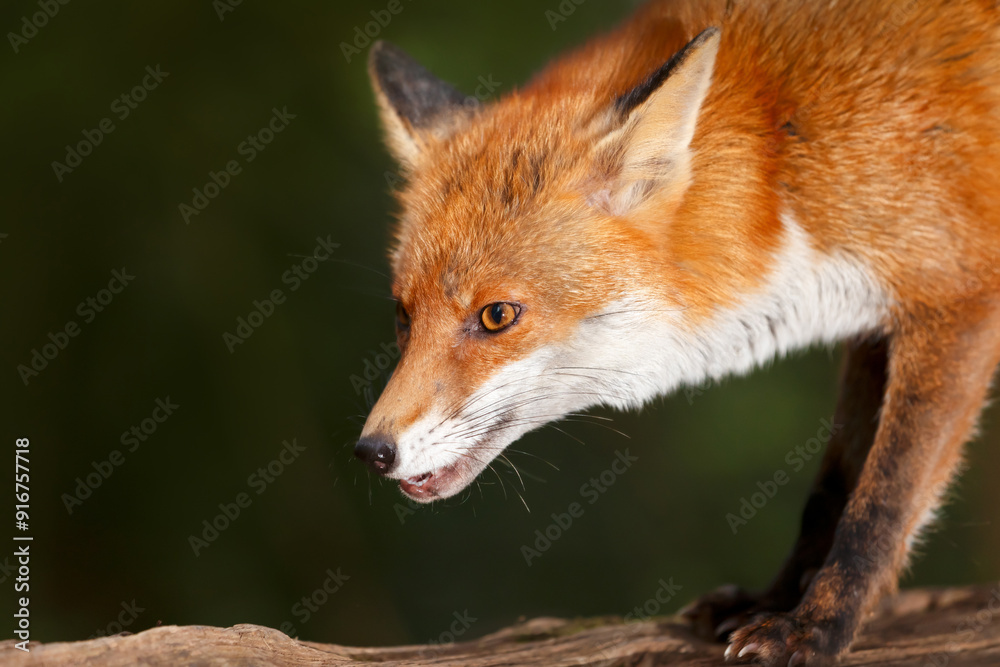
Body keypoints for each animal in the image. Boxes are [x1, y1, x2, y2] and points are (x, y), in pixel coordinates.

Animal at [353, 0, 1000, 664]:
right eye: (403, 316)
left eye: (496, 316)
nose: (372, 451)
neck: (784, 156)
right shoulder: (872, 323)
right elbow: (832, 490)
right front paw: (775, 600)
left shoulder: (956, 297)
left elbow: (882, 500)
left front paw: (818, 626)